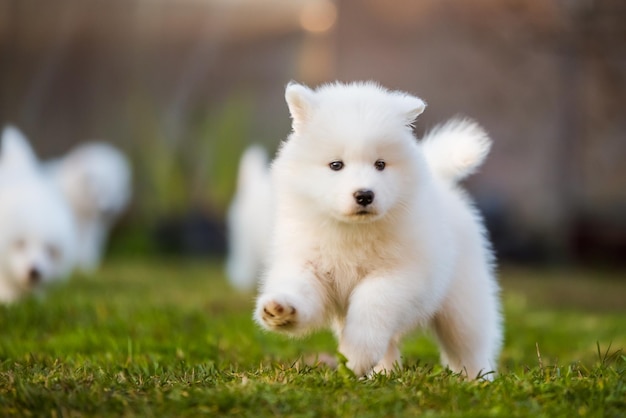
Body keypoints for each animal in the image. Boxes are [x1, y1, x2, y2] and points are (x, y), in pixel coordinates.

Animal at [254, 81, 502, 378]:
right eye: (336, 165)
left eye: (380, 164)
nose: (364, 195)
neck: (352, 232)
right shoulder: (309, 263)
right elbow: (299, 288)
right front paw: (280, 309)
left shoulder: (399, 275)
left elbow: (371, 306)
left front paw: (354, 357)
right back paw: (383, 375)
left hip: (463, 304)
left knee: (470, 346)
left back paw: (477, 380)